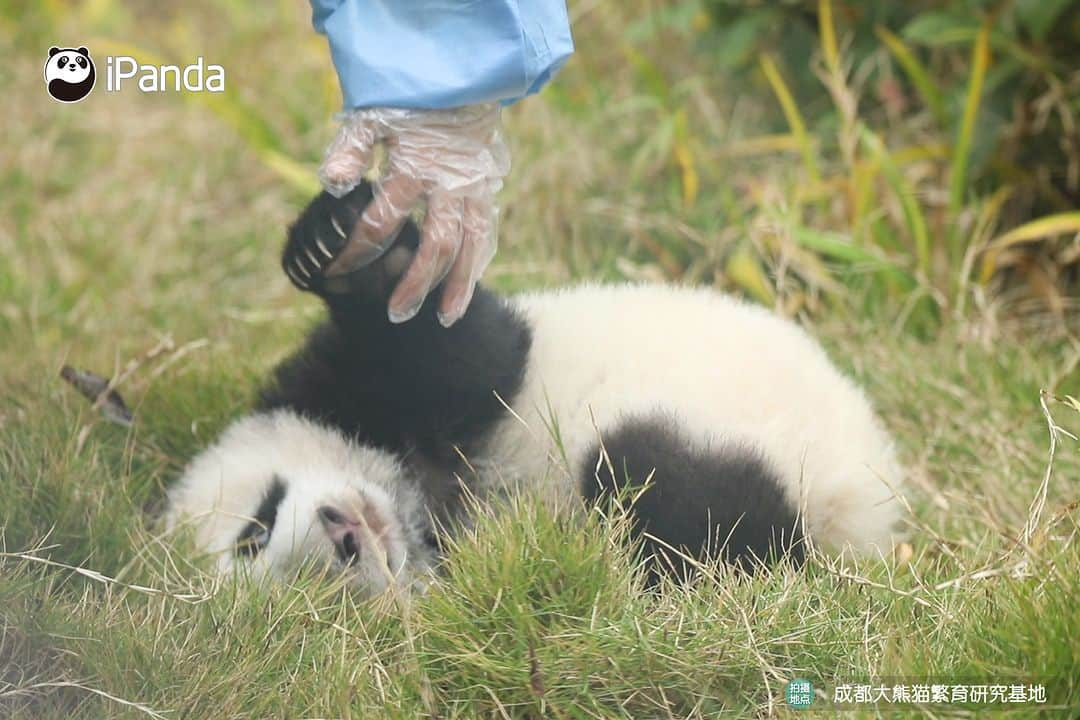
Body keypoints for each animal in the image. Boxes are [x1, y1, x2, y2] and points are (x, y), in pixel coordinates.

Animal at [166, 184, 902, 595]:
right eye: (258, 553)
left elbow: (463, 352)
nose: (343, 535)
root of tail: (862, 500)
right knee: (678, 490)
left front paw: (340, 248)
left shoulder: (348, 386)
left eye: (258, 524)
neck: (415, 494)